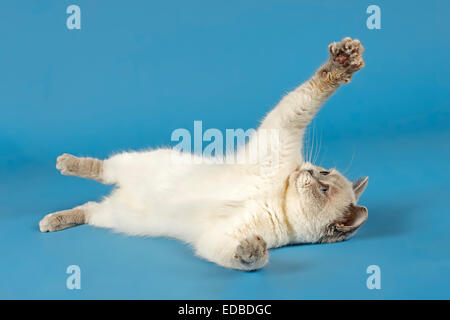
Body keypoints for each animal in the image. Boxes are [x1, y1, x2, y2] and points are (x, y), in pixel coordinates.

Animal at [39, 38, 370, 272]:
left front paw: (252, 252)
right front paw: (344, 60)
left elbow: (242, 257)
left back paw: (52, 220)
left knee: (90, 208)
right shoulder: (282, 130)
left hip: (116, 218)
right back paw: (65, 165)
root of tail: (122, 192)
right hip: (139, 162)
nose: (308, 171)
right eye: (324, 173)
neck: (278, 195)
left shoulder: (219, 236)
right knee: (103, 169)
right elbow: (315, 90)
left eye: (323, 187)